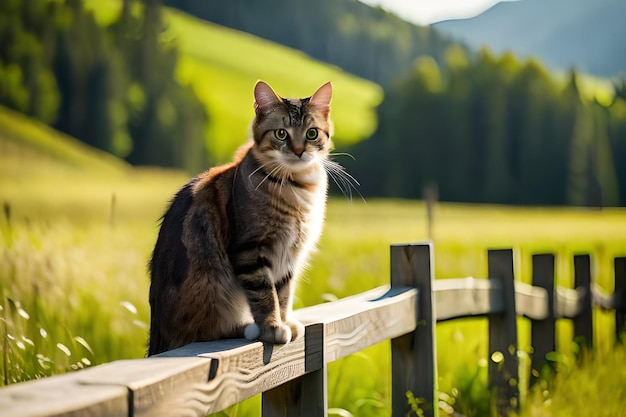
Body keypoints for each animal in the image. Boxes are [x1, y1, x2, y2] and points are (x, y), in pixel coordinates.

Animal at [148, 80, 334, 354]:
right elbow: (266, 295)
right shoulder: (250, 249)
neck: (296, 186)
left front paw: (285, 321)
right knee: (205, 332)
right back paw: (248, 327)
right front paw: (273, 327)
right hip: (208, 289)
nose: (299, 151)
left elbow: (284, 293)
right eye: (281, 134)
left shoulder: (289, 255)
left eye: (312, 133)